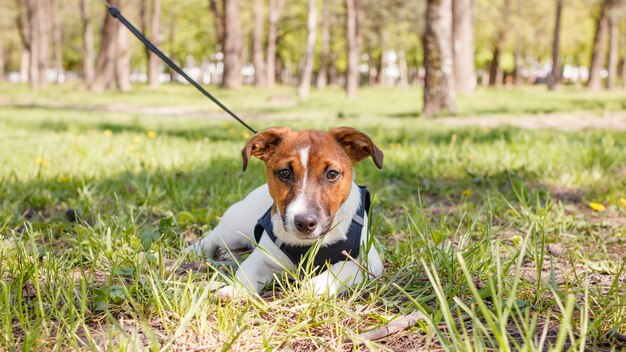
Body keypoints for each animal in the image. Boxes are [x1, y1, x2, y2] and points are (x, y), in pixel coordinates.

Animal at [184, 127, 380, 300]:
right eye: (284, 173)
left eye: (332, 174)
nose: (305, 223)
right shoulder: (263, 258)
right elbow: (245, 272)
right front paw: (234, 289)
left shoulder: (368, 262)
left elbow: (338, 270)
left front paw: (312, 287)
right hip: (233, 229)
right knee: (213, 237)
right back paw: (193, 250)